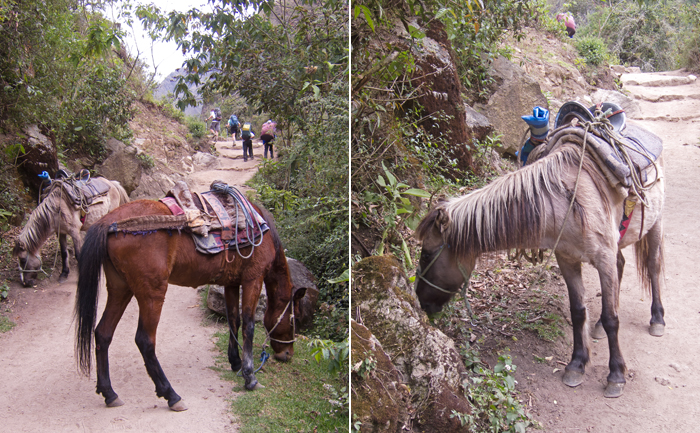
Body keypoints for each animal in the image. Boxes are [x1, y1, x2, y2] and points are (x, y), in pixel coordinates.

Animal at [74, 197, 306, 410]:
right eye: (293, 320)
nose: (287, 355)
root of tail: (109, 222)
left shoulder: (231, 282)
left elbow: (234, 321)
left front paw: (235, 362)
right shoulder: (253, 279)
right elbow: (248, 325)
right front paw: (250, 377)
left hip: (120, 289)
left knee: (103, 333)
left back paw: (109, 393)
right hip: (152, 294)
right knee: (144, 341)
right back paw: (171, 394)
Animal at [416, 139, 668, 398]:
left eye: (426, 255)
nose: (420, 300)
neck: (568, 201)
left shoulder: (603, 259)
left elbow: (612, 319)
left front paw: (616, 375)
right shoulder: (567, 260)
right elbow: (578, 312)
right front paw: (576, 364)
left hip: (655, 224)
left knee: (653, 266)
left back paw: (657, 318)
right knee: (621, 266)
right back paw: (598, 326)